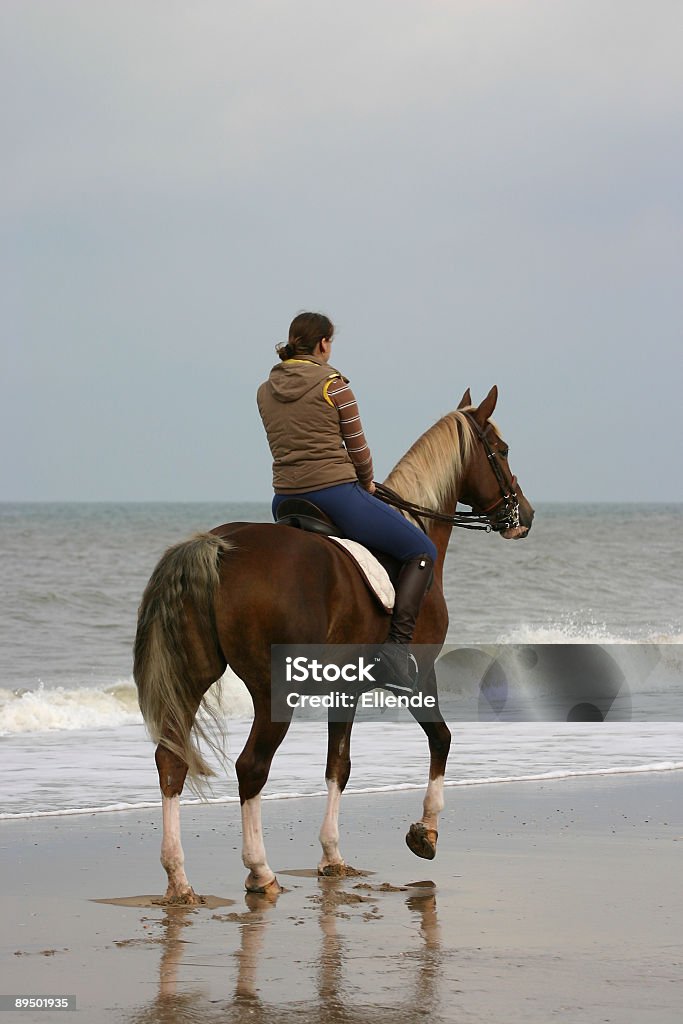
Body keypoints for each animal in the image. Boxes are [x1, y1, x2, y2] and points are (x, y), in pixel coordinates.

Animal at [133, 385, 536, 905]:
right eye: (501, 451)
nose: (524, 515)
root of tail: (219, 547)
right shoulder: (418, 677)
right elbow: (442, 739)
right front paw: (424, 832)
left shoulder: (345, 688)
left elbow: (337, 766)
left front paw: (331, 856)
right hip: (273, 691)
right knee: (251, 767)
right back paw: (259, 871)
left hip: (195, 674)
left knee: (172, 760)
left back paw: (179, 879)